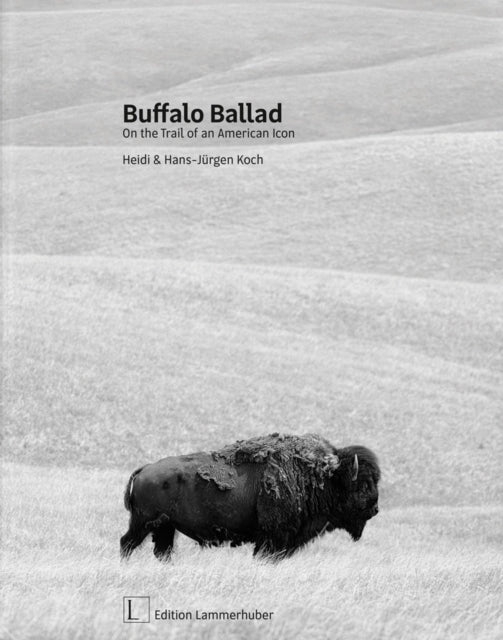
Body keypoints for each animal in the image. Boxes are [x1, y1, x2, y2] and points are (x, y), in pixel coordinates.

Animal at [120, 432, 380, 560]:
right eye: (363, 483)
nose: (375, 508)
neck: (322, 477)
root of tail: (144, 469)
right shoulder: (272, 538)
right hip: (143, 523)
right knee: (127, 543)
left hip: (165, 526)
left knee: (161, 551)